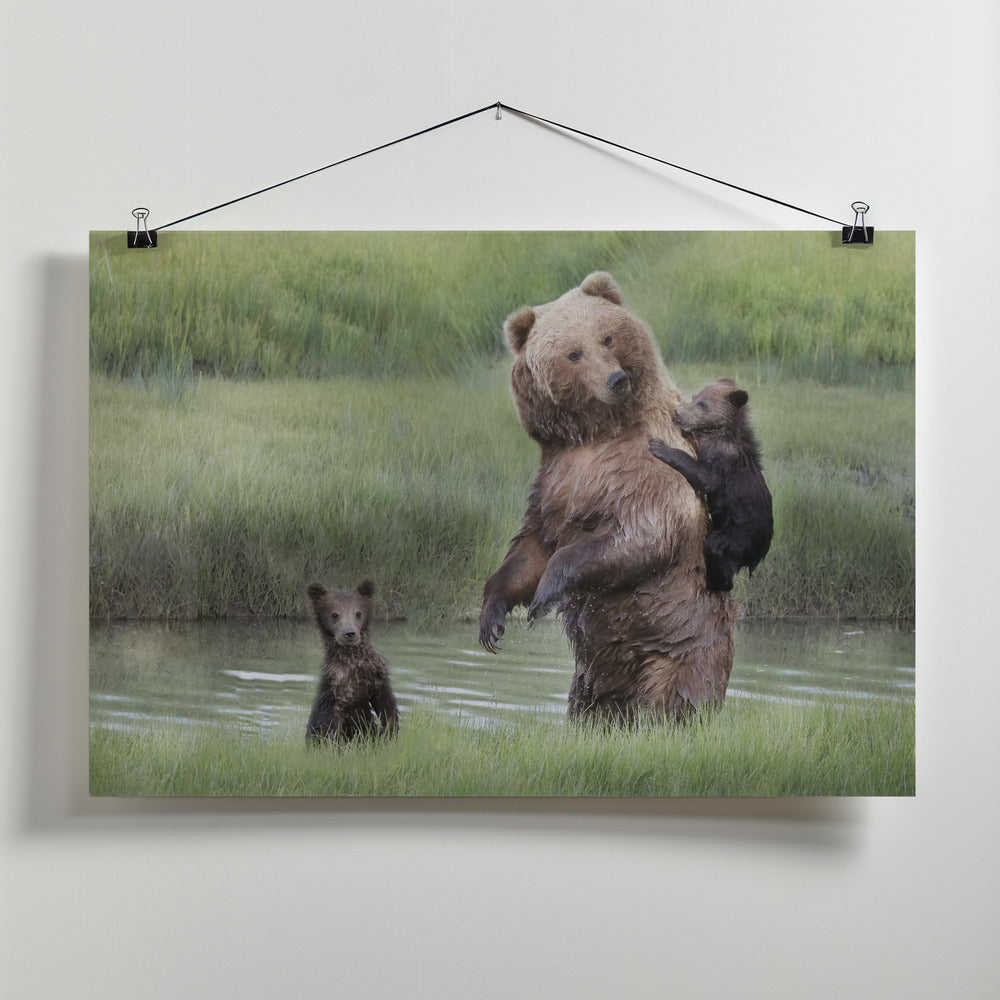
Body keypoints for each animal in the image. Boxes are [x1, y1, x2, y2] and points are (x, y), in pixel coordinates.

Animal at [305, 579, 399, 744]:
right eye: (335, 614)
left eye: (358, 613)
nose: (349, 633)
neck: (354, 661)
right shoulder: (336, 689)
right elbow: (330, 725)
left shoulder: (376, 674)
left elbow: (386, 704)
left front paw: (390, 733)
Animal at [478, 271, 735, 724]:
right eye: (573, 353)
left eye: (608, 337)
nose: (615, 380)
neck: (595, 433)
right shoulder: (555, 481)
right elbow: (534, 545)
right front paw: (492, 618)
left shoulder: (647, 466)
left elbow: (641, 533)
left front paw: (544, 596)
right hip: (593, 674)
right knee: (591, 704)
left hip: (681, 643)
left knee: (674, 695)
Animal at [649, 378, 773, 593]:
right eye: (694, 397)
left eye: (703, 404)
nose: (678, 412)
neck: (718, 432)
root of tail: (760, 553)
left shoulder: (722, 460)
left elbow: (705, 478)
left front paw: (659, 446)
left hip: (742, 532)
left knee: (717, 547)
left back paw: (715, 582)